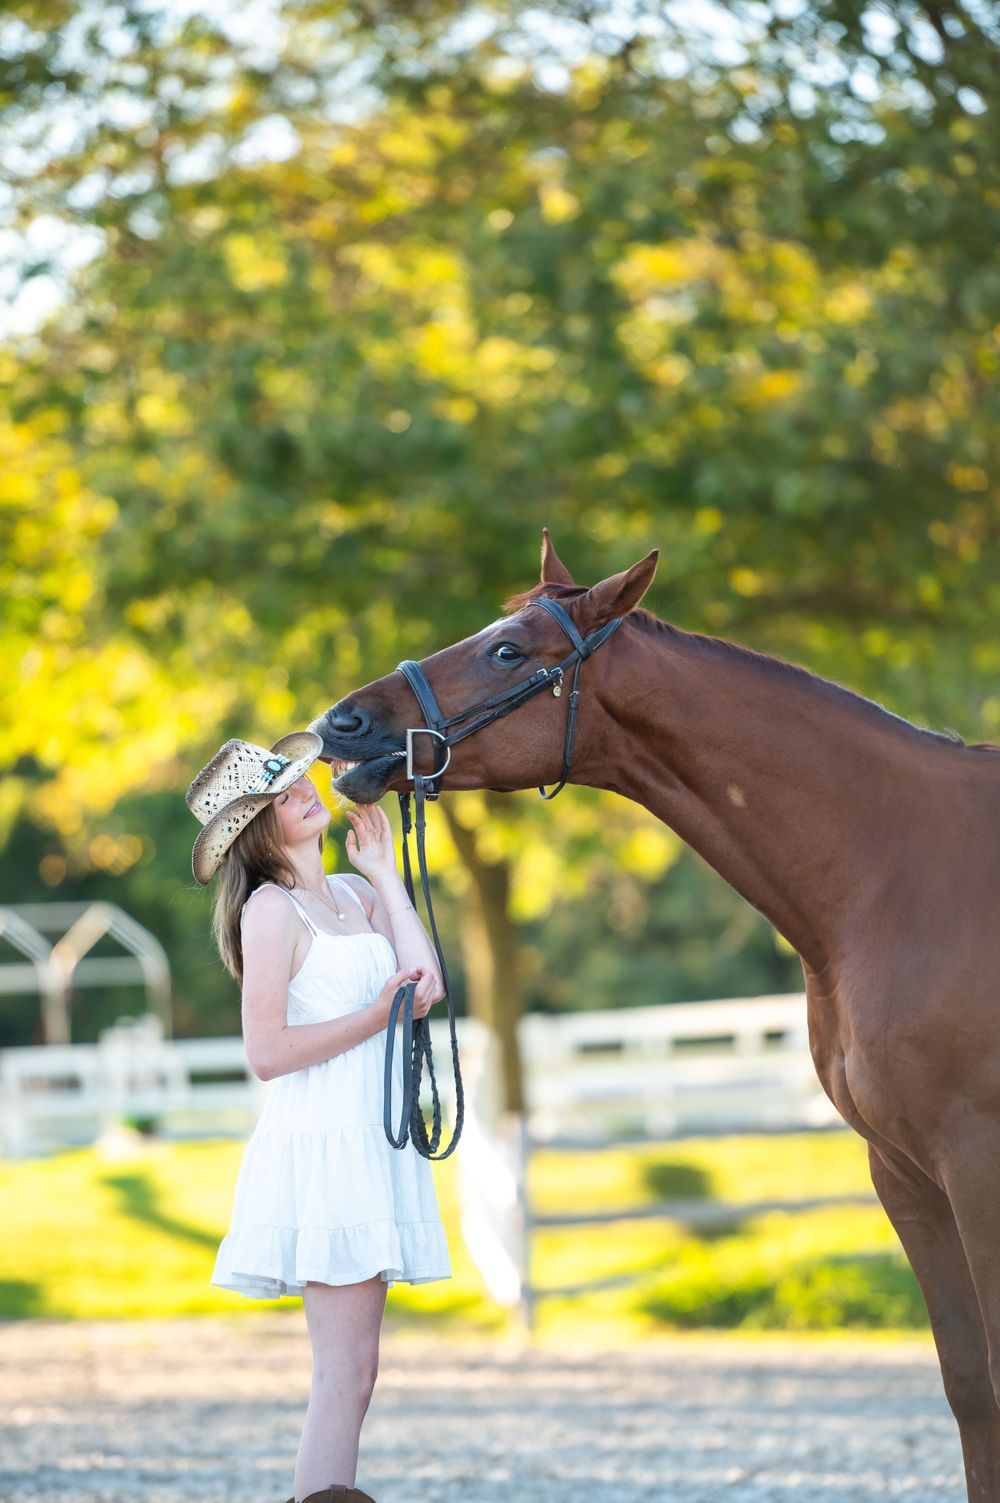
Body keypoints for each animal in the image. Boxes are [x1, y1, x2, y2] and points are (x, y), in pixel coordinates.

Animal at [308, 528, 1000, 1502]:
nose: (342, 725)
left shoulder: (976, 1161)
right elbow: (972, 1386)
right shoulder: (905, 1172)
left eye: (508, 650)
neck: (906, 875)